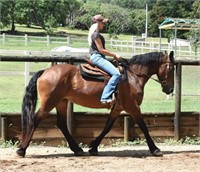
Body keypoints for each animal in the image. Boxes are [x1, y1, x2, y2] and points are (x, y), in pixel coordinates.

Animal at [16, 51, 174, 157]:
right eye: (170, 68)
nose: (170, 89)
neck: (132, 76)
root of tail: (45, 71)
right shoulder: (132, 107)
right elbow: (143, 126)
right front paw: (155, 149)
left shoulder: (118, 108)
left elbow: (107, 127)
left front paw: (93, 147)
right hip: (49, 102)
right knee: (35, 120)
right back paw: (22, 149)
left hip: (61, 102)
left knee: (61, 124)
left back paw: (77, 150)